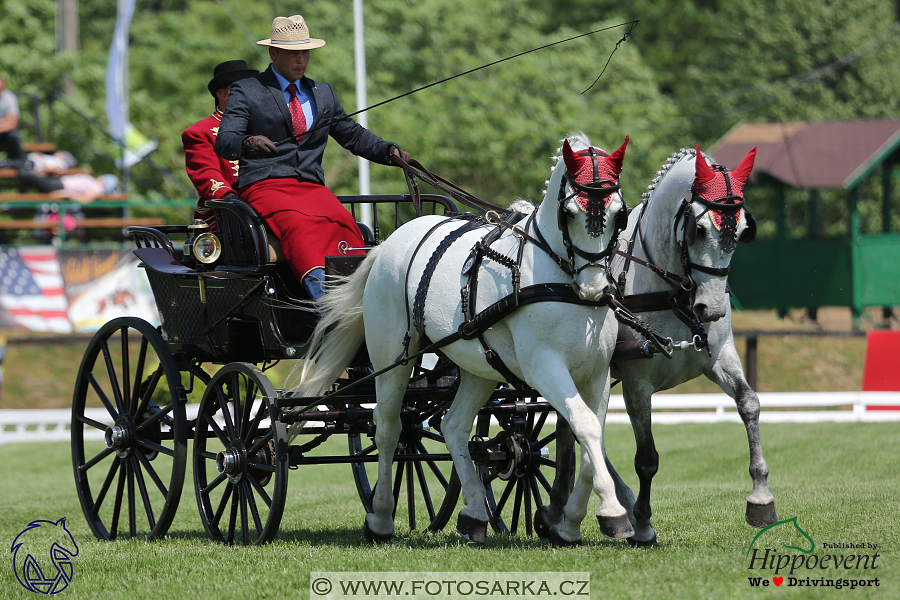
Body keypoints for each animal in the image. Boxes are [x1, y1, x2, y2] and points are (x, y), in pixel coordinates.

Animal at [296, 134, 632, 548]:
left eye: (620, 213)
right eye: (568, 212)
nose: (595, 289)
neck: (555, 278)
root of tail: (387, 243)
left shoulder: (597, 373)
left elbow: (592, 435)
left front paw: (572, 521)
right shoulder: (545, 366)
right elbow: (585, 426)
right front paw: (611, 511)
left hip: (478, 367)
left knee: (453, 425)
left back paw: (473, 515)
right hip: (393, 358)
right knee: (388, 427)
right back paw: (382, 516)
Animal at [536, 145, 776, 544]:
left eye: (743, 229)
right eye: (699, 229)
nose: (712, 308)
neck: (672, 290)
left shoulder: (720, 358)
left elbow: (749, 405)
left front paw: (760, 496)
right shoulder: (637, 382)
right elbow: (646, 458)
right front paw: (644, 523)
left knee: (573, 429)